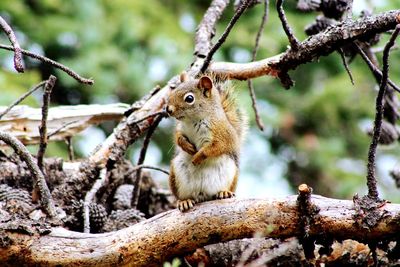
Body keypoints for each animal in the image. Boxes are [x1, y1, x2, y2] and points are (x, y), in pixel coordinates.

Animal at [166, 72, 247, 213]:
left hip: (230, 173)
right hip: (176, 175)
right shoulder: (180, 129)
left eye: (189, 98)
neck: (193, 120)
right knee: (182, 196)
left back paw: (224, 192)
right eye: (174, 90)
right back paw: (184, 201)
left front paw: (198, 157)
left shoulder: (222, 134)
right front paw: (187, 146)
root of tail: (203, 195)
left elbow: (215, 148)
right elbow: (178, 138)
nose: (168, 109)